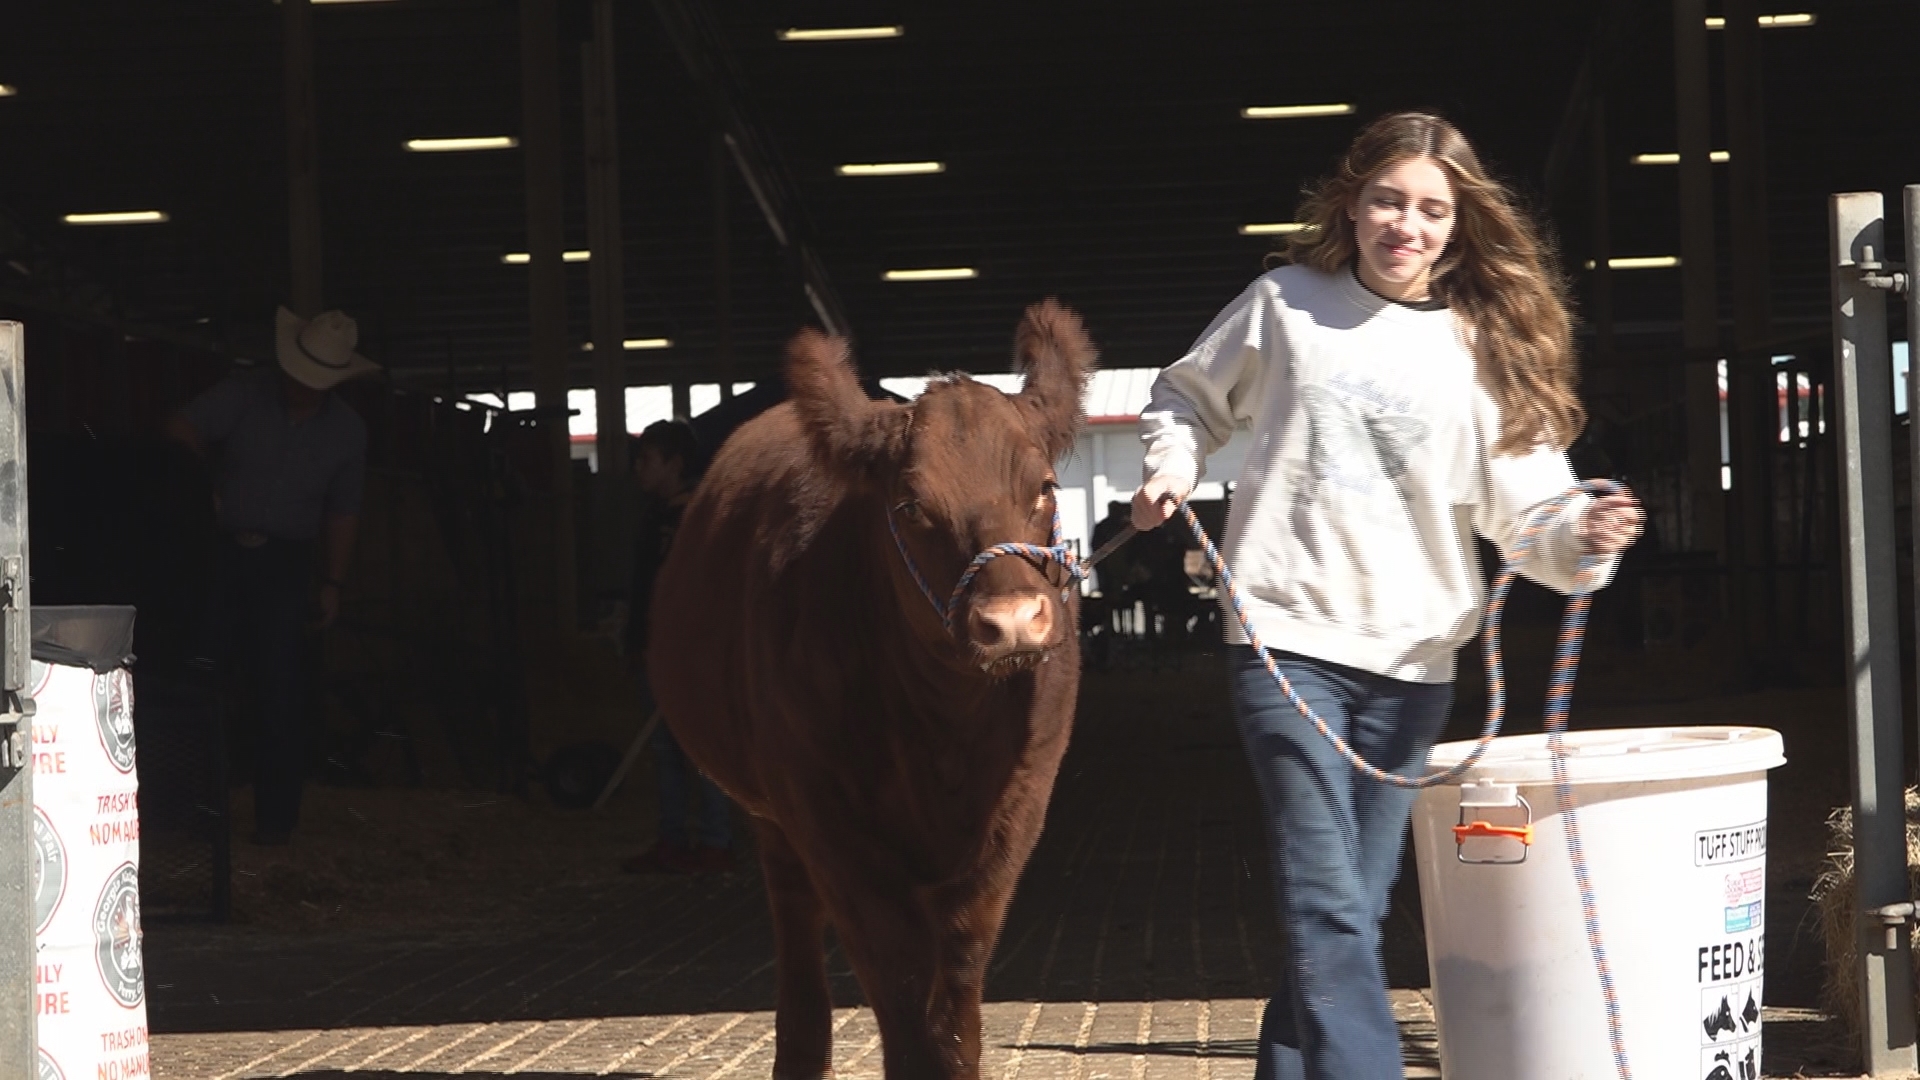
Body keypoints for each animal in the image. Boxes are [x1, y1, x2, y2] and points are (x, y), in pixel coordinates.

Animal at [645, 297, 1098, 1068]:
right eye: (911, 507)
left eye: (1043, 487)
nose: (1012, 622)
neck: (947, 730)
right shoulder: (828, 822)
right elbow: (900, 980)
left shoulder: (1014, 817)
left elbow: (956, 993)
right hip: (772, 814)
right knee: (796, 922)